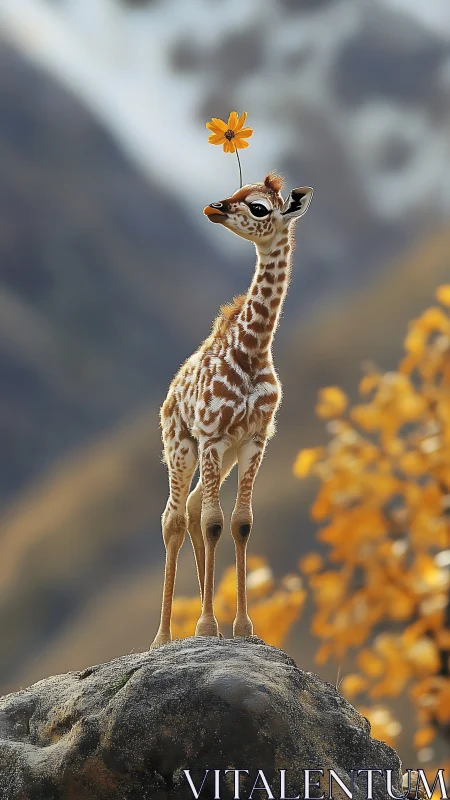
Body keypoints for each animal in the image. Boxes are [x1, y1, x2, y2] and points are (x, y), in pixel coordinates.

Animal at [151, 172, 313, 648]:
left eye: (259, 206)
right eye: (239, 193)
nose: (213, 207)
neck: (253, 350)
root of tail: (168, 397)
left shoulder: (253, 440)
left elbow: (240, 523)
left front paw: (241, 627)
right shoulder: (211, 436)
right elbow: (212, 522)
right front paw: (206, 626)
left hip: (218, 458)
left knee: (188, 509)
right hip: (182, 447)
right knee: (173, 518)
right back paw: (163, 637)